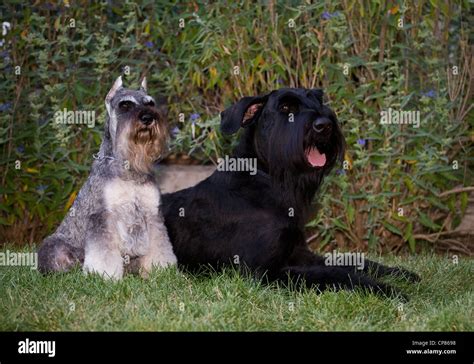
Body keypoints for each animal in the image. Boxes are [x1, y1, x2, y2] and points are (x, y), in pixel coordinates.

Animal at [37, 74, 178, 278]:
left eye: (150, 103)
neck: (129, 168)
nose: (147, 117)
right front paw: (104, 276)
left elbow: (159, 245)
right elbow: (103, 252)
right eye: (125, 105)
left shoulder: (152, 214)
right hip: (55, 248)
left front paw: (161, 270)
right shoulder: (103, 216)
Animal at [162, 89, 418, 298]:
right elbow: (333, 274)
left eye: (317, 99)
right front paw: (384, 289)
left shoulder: (299, 253)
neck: (266, 183)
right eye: (286, 108)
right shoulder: (263, 272)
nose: (324, 125)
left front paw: (400, 273)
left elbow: (354, 262)